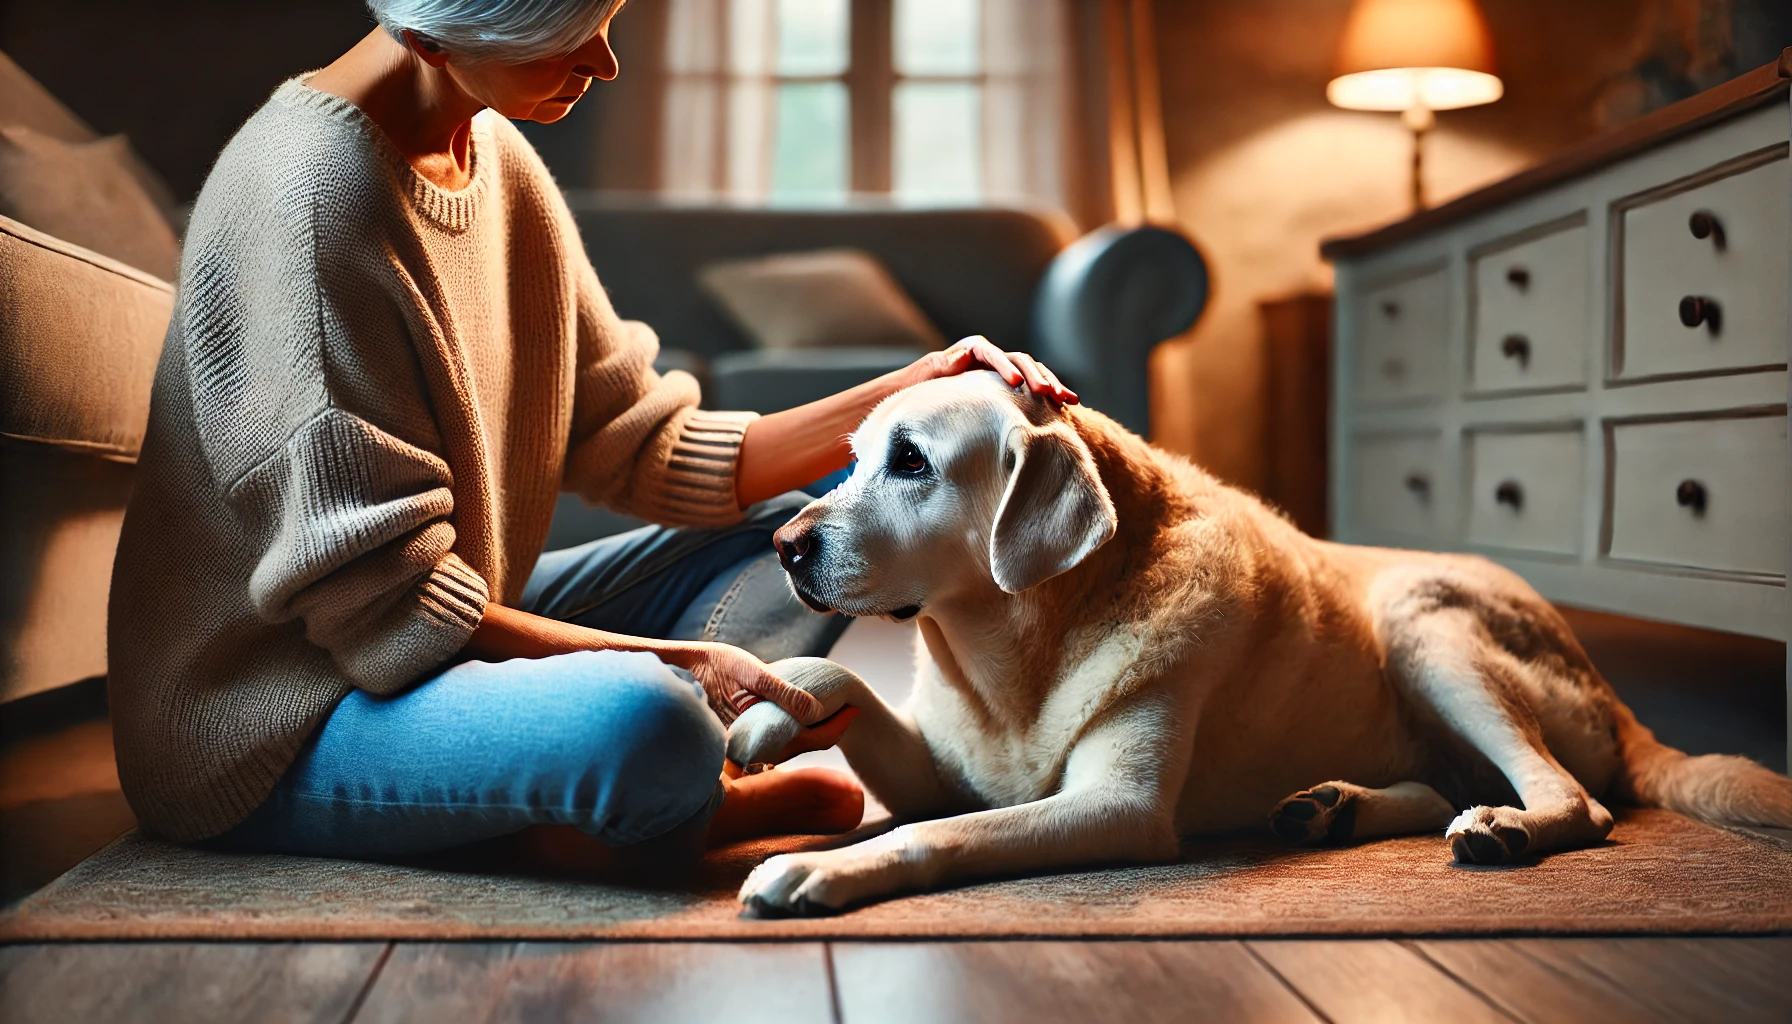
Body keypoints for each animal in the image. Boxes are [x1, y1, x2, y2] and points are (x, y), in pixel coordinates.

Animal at [723, 373, 1792, 918]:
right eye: (855, 459)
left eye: (911, 463)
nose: (784, 546)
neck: (1014, 652)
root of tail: (1614, 694)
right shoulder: (936, 766)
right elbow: (843, 686)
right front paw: (770, 715)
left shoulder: (1119, 807)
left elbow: (936, 832)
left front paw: (820, 870)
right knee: (1436, 782)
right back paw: (1333, 808)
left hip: (1426, 622)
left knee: (1577, 800)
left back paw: (1505, 825)